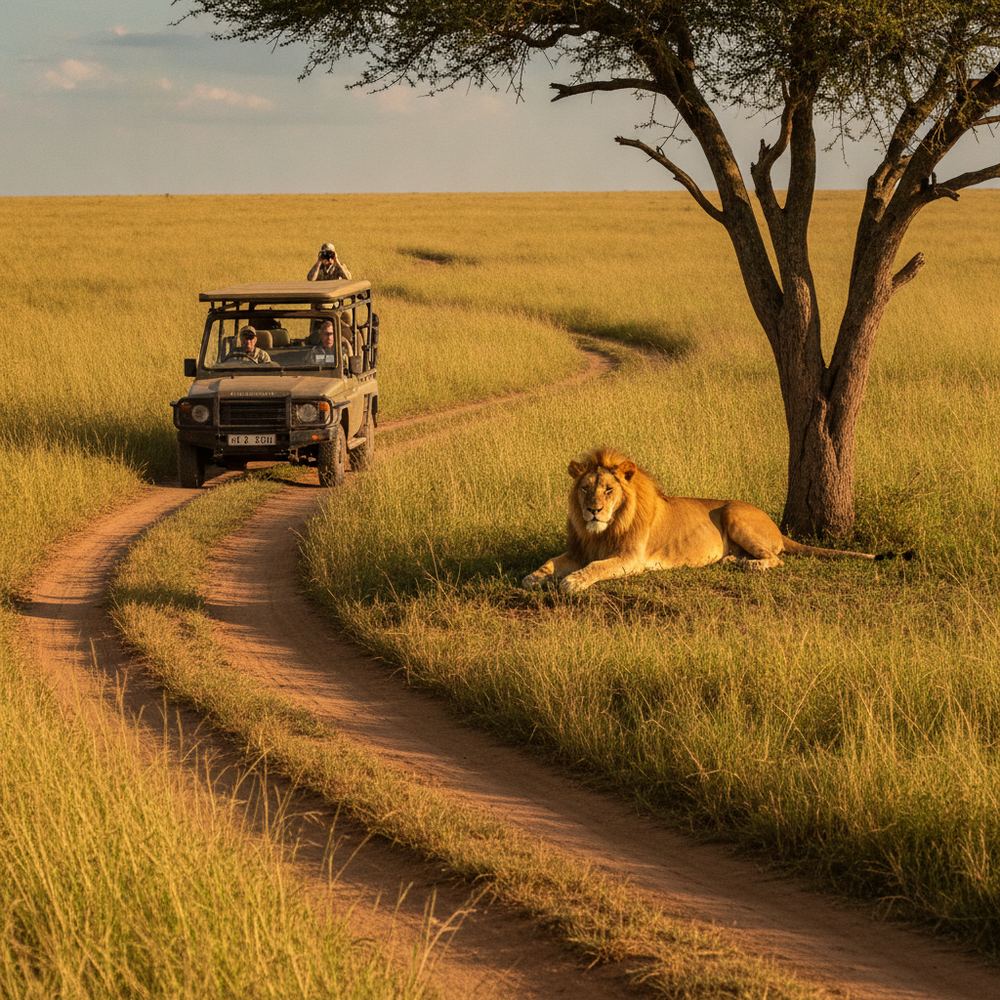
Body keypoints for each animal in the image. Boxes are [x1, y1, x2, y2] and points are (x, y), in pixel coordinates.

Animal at [522, 447, 896, 594]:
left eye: (609, 490)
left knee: (776, 559)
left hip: (732, 513)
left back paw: (747, 565)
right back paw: (731, 560)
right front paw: (533, 577)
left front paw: (573, 582)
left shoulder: (631, 558)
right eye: (586, 489)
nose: (593, 510)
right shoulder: (579, 550)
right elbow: (551, 561)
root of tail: (776, 526)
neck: (602, 531)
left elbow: (597, 568)